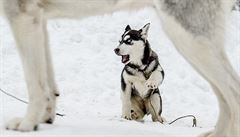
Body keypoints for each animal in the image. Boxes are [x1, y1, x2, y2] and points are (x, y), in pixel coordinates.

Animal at [0, 0, 240, 137]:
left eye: (128, 41)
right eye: (120, 40)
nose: (116, 49)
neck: (139, 65)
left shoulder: (23, 13)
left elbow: (35, 84)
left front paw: (27, 123)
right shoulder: (38, 19)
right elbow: (47, 84)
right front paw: (43, 119)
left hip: (187, 39)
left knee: (232, 94)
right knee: (225, 101)